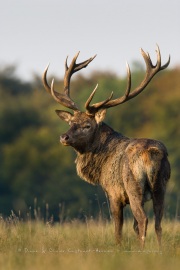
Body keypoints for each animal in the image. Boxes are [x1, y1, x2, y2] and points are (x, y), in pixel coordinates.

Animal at [42, 44, 170, 249]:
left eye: (87, 125)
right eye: (70, 122)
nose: (64, 136)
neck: (100, 166)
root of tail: (150, 153)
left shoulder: (113, 192)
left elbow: (118, 229)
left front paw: (118, 248)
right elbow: (133, 227)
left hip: (133, 186)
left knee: (143, 219)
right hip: (161, 185)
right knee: (158, 222)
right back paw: (158, 250)